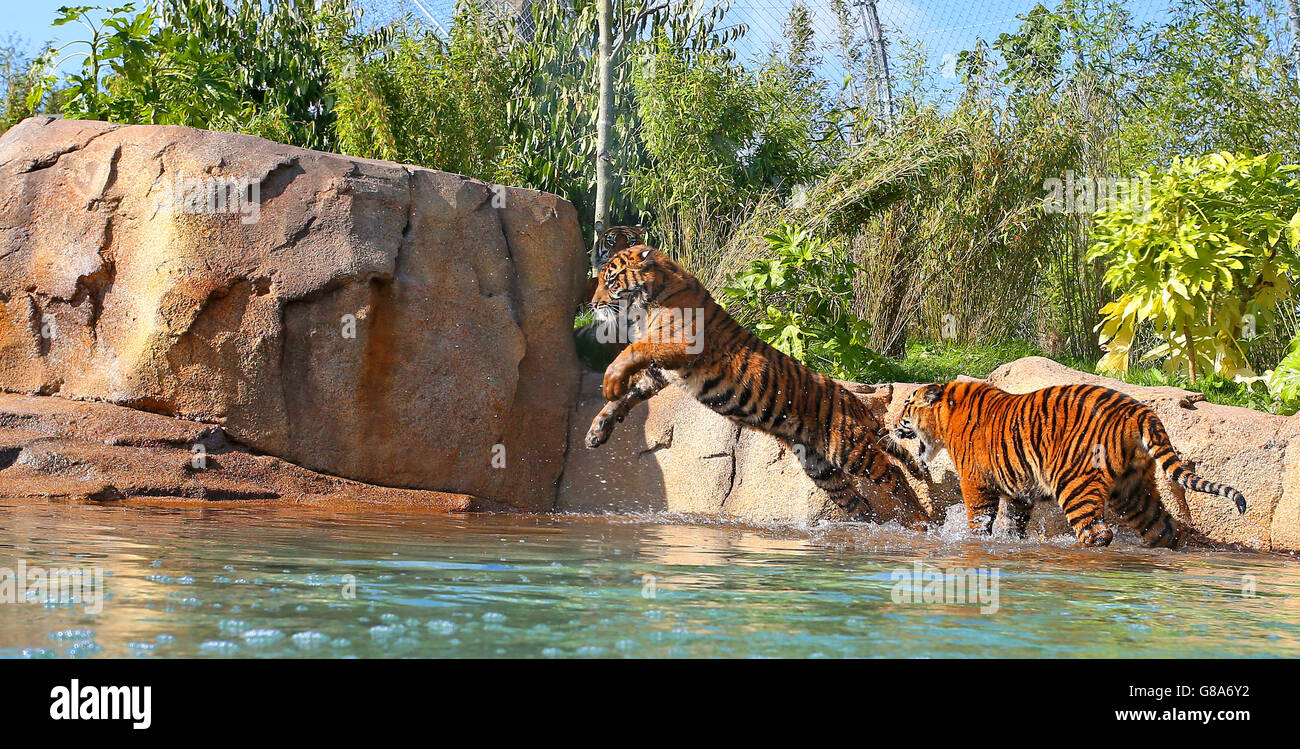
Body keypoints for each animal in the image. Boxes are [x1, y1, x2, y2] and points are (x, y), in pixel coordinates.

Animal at [585, 239, 930, 525]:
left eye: (610, 280)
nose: (593, 304)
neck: (647, 301)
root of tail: (854, 400)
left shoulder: (680, 342)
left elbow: (631, 351)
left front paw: (610, 383)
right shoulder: (659, 372)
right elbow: (626, 397)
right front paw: (597, 431)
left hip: (849, 447)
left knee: (896, 475)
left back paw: (918, 521)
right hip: (820, 466)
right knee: (856, 500)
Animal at [889, 382, 1242, 546]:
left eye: (906, 404)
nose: (891, 424)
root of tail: (1138, 410)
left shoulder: (976, 483)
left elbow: (978, 521)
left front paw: (974, 541)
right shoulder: (1018, 493)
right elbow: (1015, 524)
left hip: (1076, 484)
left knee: (1097, 532)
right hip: (1134, 491)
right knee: (1165, 530)